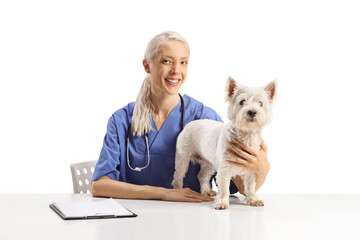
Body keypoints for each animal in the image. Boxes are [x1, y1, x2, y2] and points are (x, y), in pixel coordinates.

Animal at [173, 77, 278, 210]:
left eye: (260, 103)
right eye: (242, 102)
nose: (252, 112)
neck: (246, 136)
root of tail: (189, 124)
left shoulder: (252, 168)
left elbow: (250, 186)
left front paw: (253, 200)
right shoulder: (224, 168)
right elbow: (224, 189)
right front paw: (222, 202)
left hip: (209, 163)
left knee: (202, 175)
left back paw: (207, 190)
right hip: (183, 157)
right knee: (179, 174)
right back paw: (178, 189)